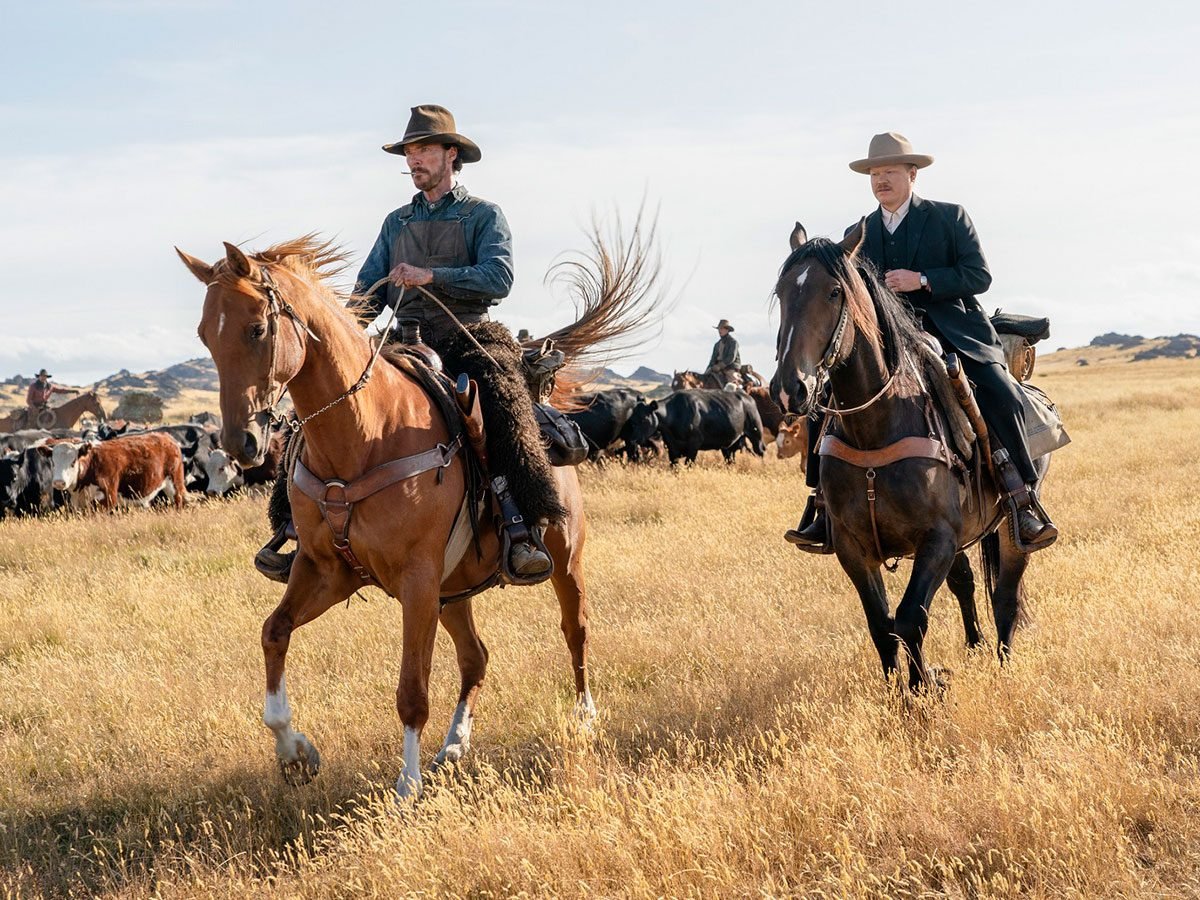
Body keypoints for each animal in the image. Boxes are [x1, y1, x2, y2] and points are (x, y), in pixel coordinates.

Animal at [43, 436, 184, 513]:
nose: (59, 482)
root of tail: (167, 438)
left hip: (175, 486)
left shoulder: (107, 498)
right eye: (53, 462)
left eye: (73, 462)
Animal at [177, 229, 662, 801]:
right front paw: (295, 753)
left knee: (575, 630)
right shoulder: (326, 570)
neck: (366, 432)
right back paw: (452, 747)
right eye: (206, 335)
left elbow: (411, 689)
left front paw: (406, 786)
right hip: (453, 591)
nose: (242, 443)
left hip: (562, 560)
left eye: (256, 328)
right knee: (476, 657)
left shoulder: (416, 578)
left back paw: (584, 717)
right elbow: (274, 633)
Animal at [633, 391, 763, 468]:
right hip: (728, 446)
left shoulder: (694, 445)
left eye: (644, 418)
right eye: (632, 417)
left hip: (756, 435)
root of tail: (747, 397)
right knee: (729, 460)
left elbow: (688, 464)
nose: (634, 439)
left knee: (761, 452)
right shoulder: (672, 448)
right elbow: (674, 467)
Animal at [772, 222, 1046, 696]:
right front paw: (896, 694)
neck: (876, 426)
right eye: (781, 291)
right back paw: (974, 646)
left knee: (1006, 596)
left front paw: (923, 689)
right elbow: (881, 625)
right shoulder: (852, 547)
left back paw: (1002, 664)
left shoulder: (936, 539)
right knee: (965, 582)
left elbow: (910, 619)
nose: (791, 389)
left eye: (834, 292)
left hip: (1012, 534)